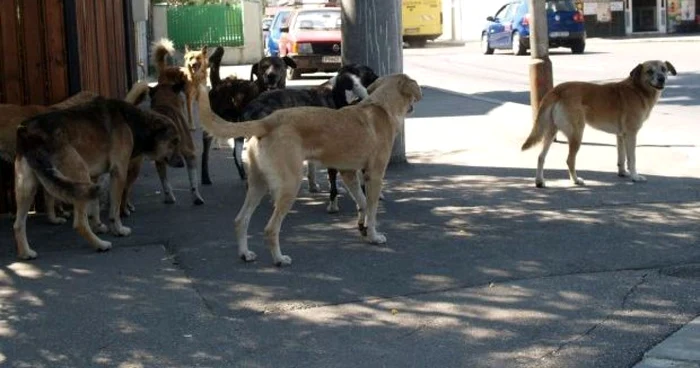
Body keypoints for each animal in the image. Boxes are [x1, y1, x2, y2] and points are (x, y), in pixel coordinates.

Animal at [194, 73, 422, 266]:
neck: (381, 106)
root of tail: (267, 121)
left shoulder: (348, 173)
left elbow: (363, 204)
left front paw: (363, 228)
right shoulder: (374, 176)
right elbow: (372, 209)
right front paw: (374, 236)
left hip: (258, 185)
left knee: (240, 220)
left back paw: (245, 254)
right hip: (289, 185)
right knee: (270, 229)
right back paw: (279, 259)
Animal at [524, 60, 676, 188]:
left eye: (663, 69)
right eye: (649, 71)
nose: (662, 78)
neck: (638, 89)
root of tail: (557, 90)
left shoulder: (621, 136)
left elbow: (622, 157)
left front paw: (623, 173)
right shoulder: (631, 134)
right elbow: (632, 158)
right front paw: (634, 176)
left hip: (551, 131)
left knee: (541, 157)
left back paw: (539, 181)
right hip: (576, 133)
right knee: (569, 160)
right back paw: (575, 180)